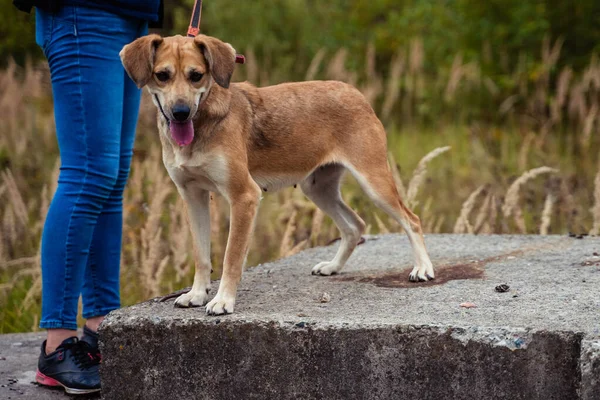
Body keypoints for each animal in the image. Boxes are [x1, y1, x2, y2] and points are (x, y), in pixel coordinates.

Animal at [119, 33, 434, 316]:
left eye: (196, 75)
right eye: (162, 75)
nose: (180, 112)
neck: (202, 122)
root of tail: (353, 92)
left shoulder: (244, 197)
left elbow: (231, 257)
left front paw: (223, 301)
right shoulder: (193, 197)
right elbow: (201, 255)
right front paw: (196, 294)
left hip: (374, 183)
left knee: (412, 220)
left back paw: (422, 268)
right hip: (318, 188)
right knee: (355, 225)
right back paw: (333, 266)